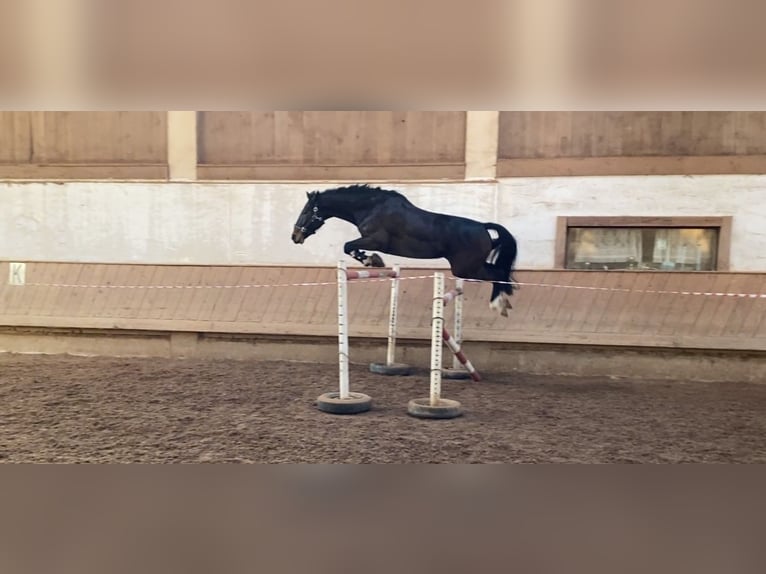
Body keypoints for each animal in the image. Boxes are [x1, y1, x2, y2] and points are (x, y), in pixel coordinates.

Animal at [292, 184, 520, 318]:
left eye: (306, 211)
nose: (295, 236)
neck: (370, 208)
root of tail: (482, 227)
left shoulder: (375, 240)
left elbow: (348, 246)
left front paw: (372, 260)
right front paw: (372, 260)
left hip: (465, 269)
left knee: (497, 273)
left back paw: (498, 304)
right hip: (471, 266)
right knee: (499, 272)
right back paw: (504, 302)